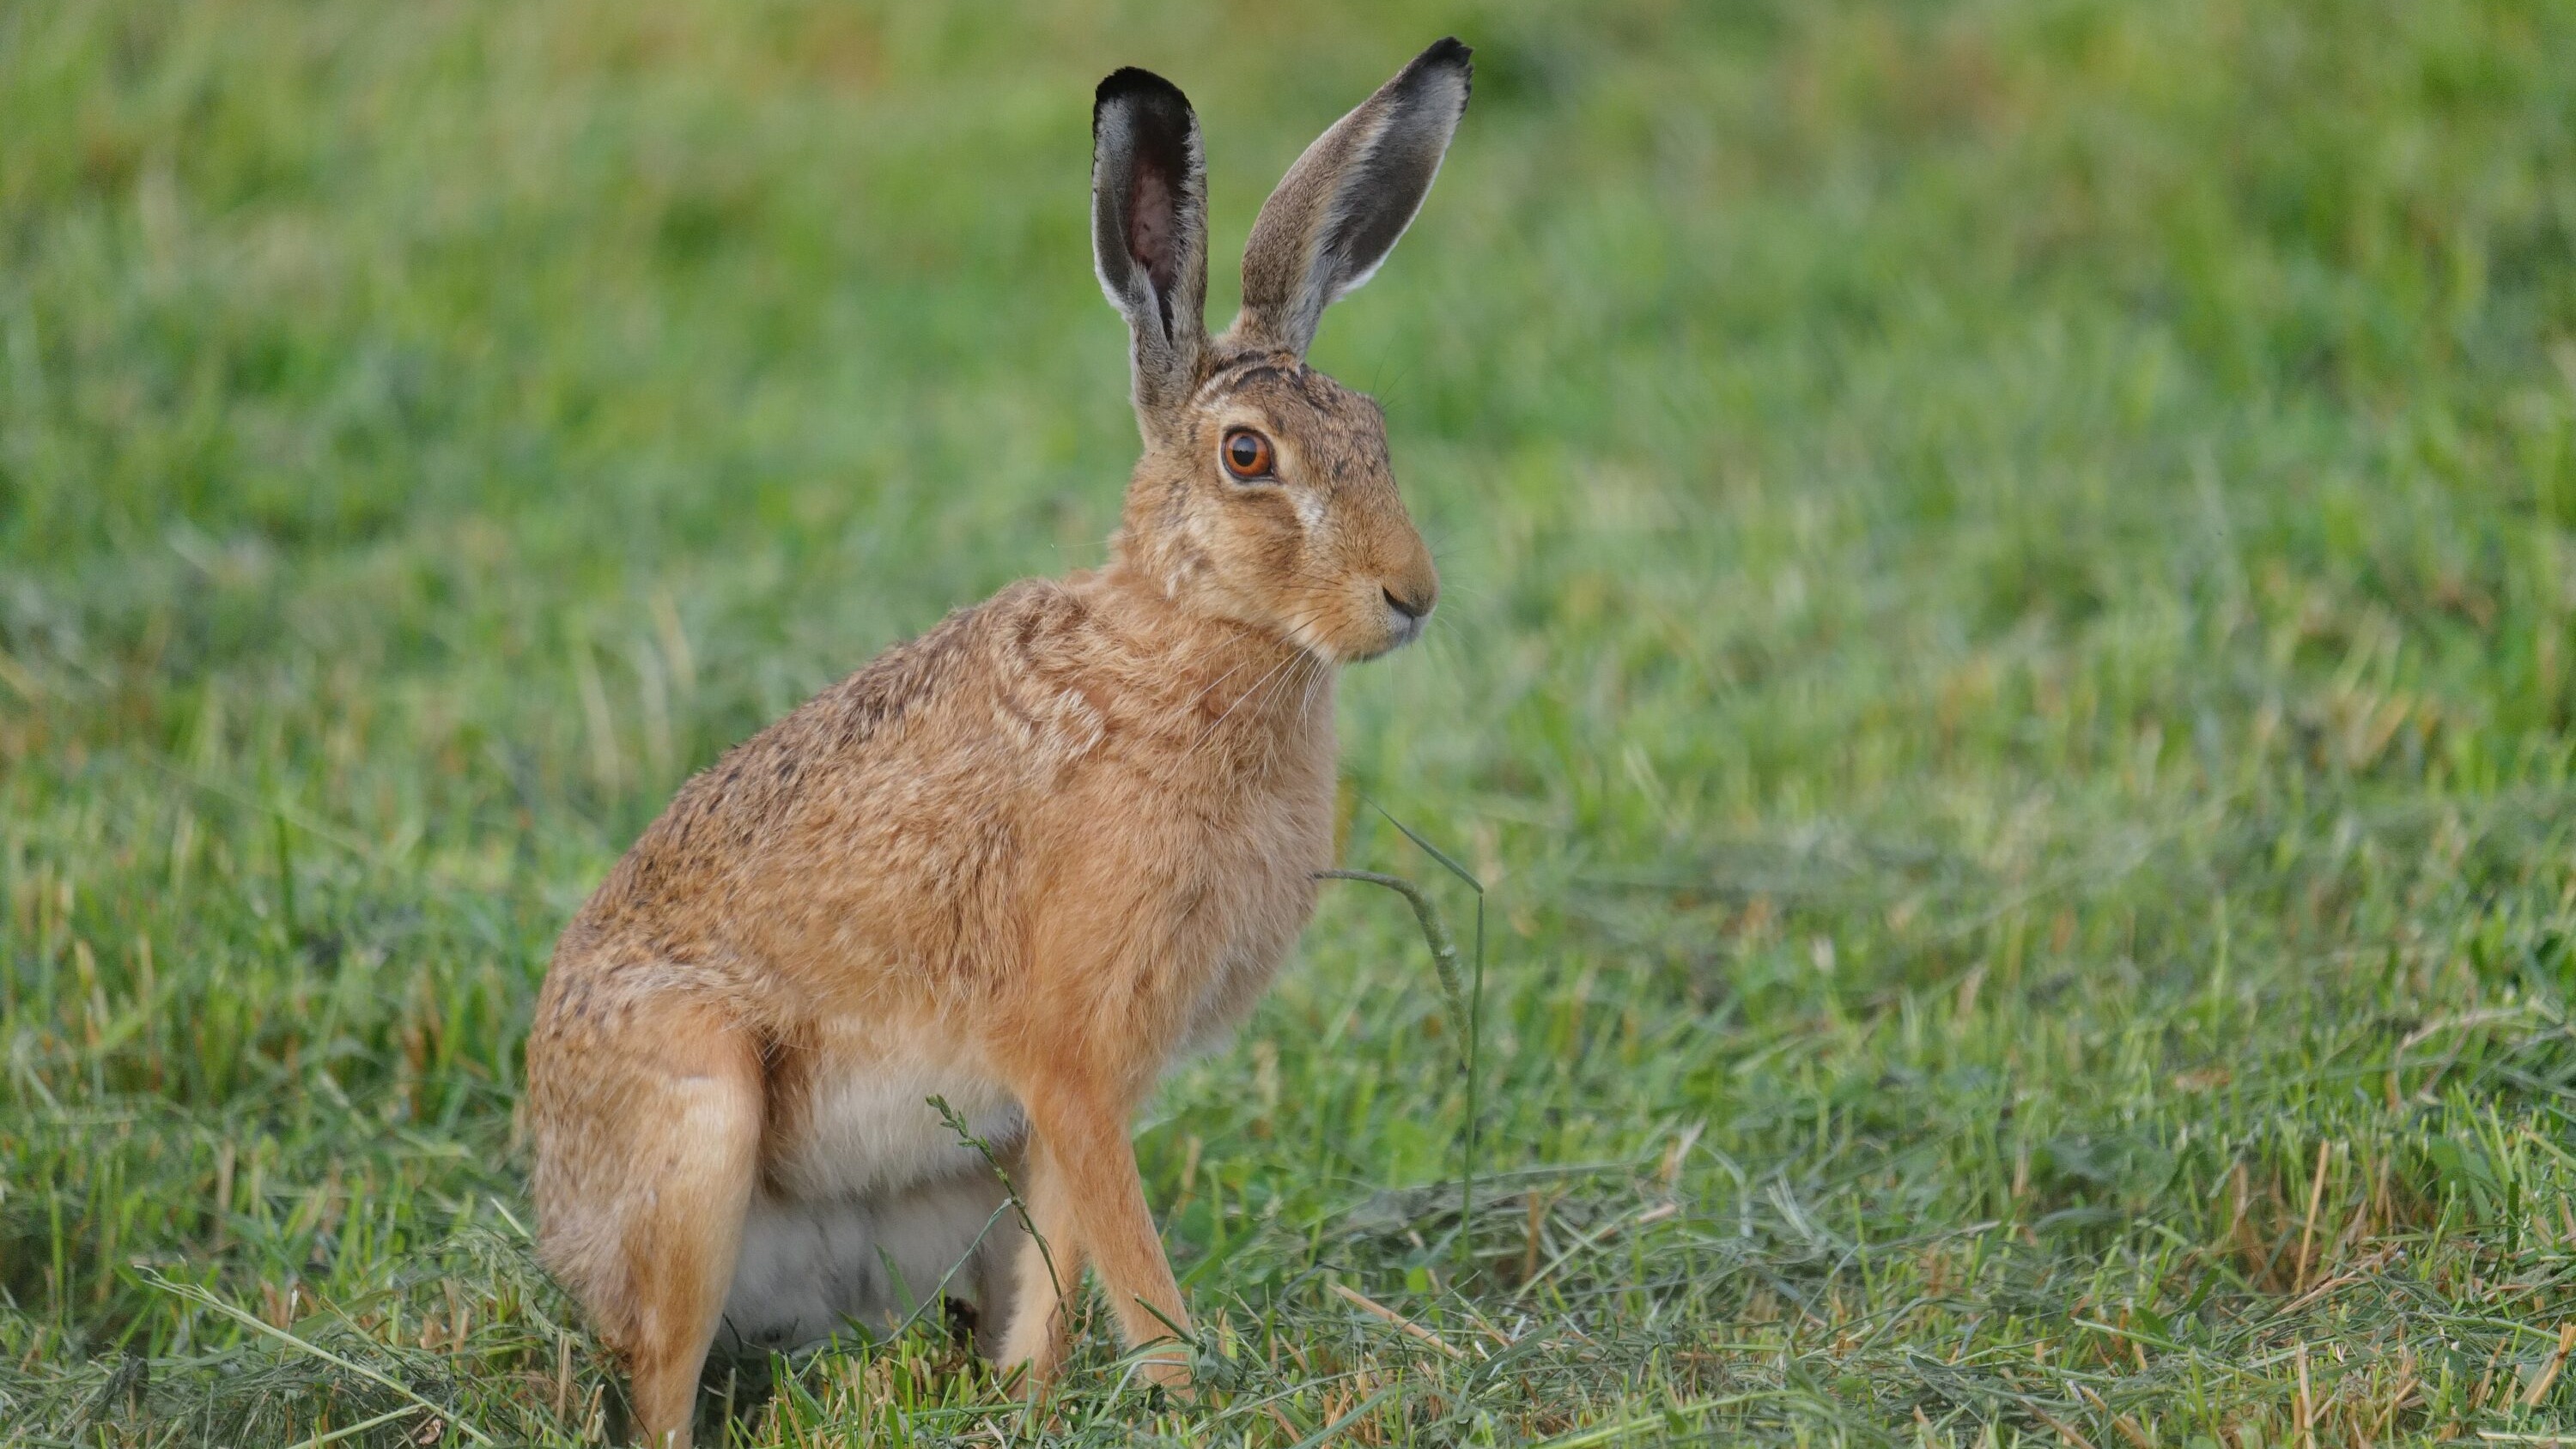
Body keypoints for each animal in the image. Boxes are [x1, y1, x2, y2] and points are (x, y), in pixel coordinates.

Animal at [523, 37, 1470, 1447]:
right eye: (1250, 456)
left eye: (1375, 432)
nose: (1411, 595)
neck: (1186, 638)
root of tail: (557, 1216)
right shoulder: (1072, 1051)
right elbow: (1138, 1269)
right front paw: (1192, 1395)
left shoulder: (1079, 1094)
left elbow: (1066, 1260)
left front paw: (1031, 1396)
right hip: (696, 1125)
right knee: (659, 1376)